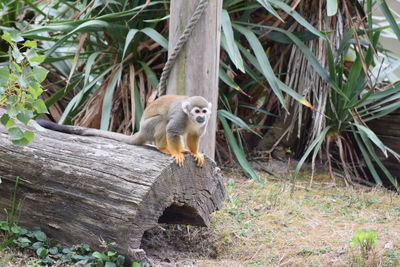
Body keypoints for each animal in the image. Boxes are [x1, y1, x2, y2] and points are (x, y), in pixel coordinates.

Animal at [36, 96, 212, 168]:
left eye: (204, 111)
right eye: (196, 111)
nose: (201, 117)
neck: (190, 119)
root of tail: (141, 130)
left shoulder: (203, 124)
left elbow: (194, 134)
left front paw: (195, 153)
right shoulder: (181, 117)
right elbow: (172, 130)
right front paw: (176, 153)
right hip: (148, 127)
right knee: (163, 121)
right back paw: (163, 148)